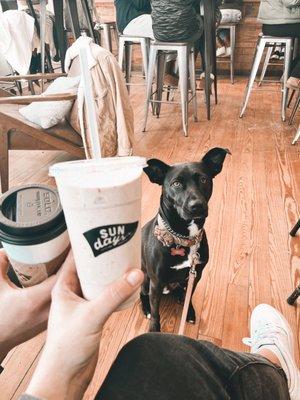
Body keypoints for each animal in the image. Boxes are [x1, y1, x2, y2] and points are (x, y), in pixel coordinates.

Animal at [140, 147, 230, 332]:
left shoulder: (196, 275)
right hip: (146, 279)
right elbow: (156, 312)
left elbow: (190, 296)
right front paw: (154, 329)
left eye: (203, 179)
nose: (197, 206)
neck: (184, 238)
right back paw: (146, 308)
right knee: (143, 294)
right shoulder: (156, 282)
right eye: (176, 184)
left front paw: (188, 311)